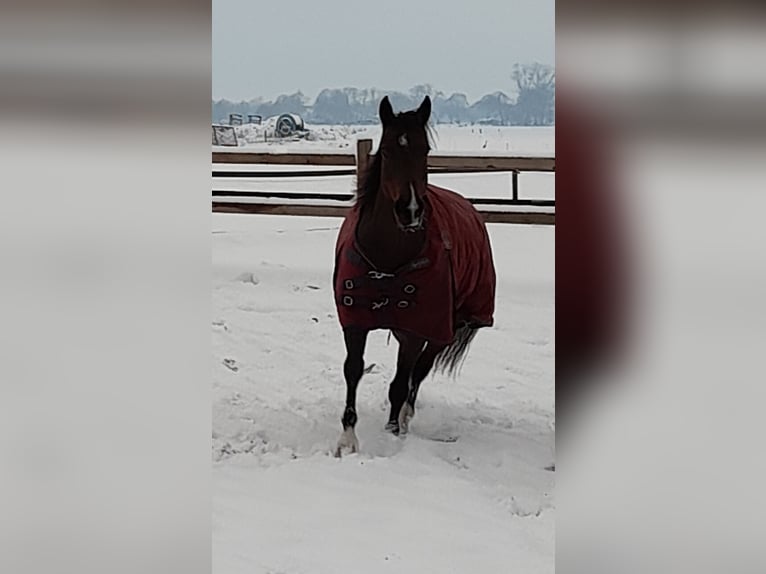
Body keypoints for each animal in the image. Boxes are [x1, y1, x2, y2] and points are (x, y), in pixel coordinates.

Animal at [332, 95, 496, 456]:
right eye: (387, 150)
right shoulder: (355, 321)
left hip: (443, 329)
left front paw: (393, 434)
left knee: (418, 371)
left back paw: (405, 417)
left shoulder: (415, 328)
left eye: (425, 150)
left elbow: (400, 381)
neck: (387, 259)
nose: (409, 211)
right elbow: (353, 370)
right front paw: (347, 439)